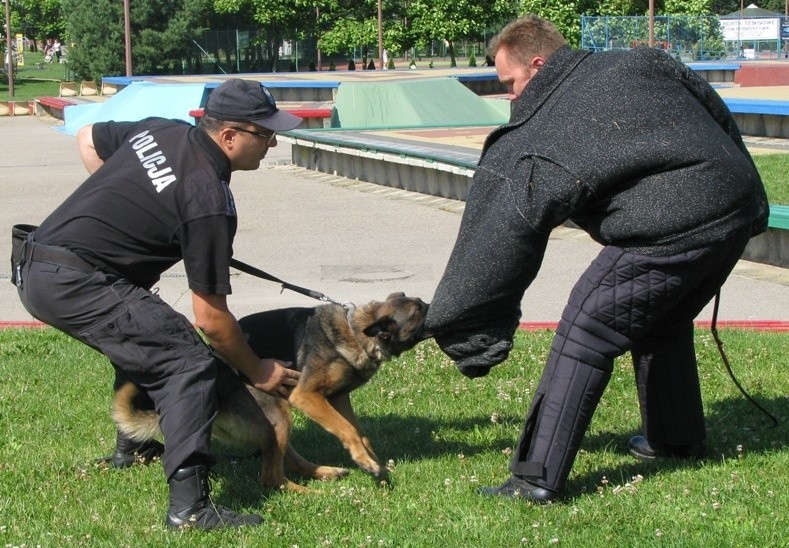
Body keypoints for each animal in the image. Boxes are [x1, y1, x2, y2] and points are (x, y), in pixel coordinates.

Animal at [112, 294, 424, 490]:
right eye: (418, 311)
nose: (430, 303)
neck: (356, 331)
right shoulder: (307, 396)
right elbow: (347, 429)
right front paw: (365, 460)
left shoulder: (337, 398)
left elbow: (358, 431)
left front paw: (370, 459)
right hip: (278, 409)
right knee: (271, 478)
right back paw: (309, 493)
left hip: (277, 420)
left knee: (285, 458)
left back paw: (325, 472)